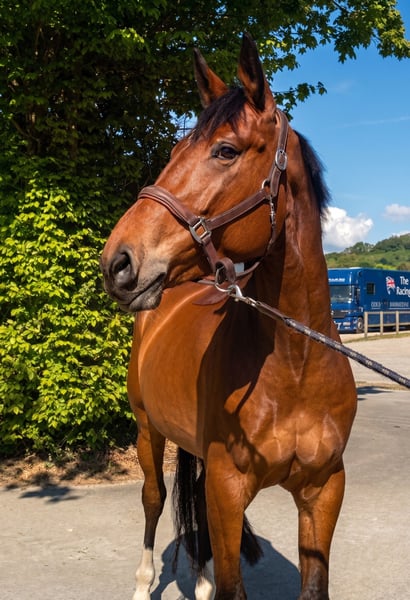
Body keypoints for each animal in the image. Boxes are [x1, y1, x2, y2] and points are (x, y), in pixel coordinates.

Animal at [100, 33, 357, 600]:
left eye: (225, 150)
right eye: (175, 152)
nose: (117, 262)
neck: (296, 365)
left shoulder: (324, 491)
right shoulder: (228, 487)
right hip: (147, 430)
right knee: (154, 499)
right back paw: (143, 582)